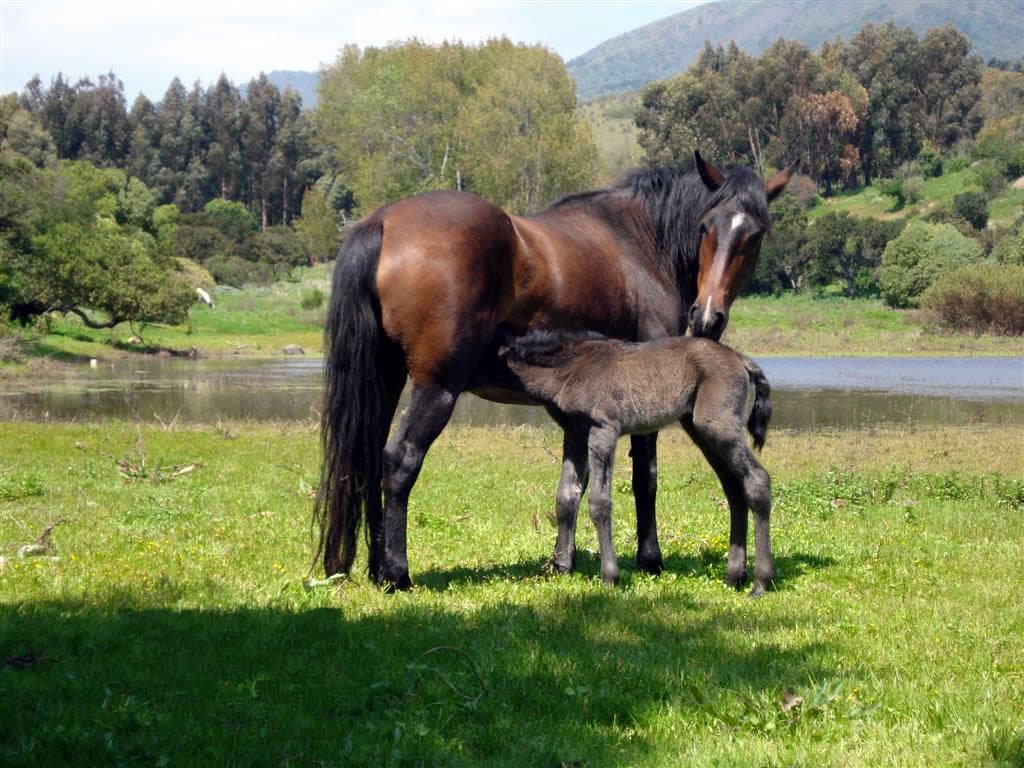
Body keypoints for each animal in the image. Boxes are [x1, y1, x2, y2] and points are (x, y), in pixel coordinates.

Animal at [315, 153, 794, 593]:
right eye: (706, 227)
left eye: (754, 234)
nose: (707, 316)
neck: (639, 241)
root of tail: (383, 223)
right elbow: (645, 479)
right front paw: (649, 559)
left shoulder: (579, 415)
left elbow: (570, 489)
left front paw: (562, 562)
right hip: (437, 389)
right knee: (400, 462)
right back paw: (397, 573)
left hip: (386, 380)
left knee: (370, 460)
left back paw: (377, 567)